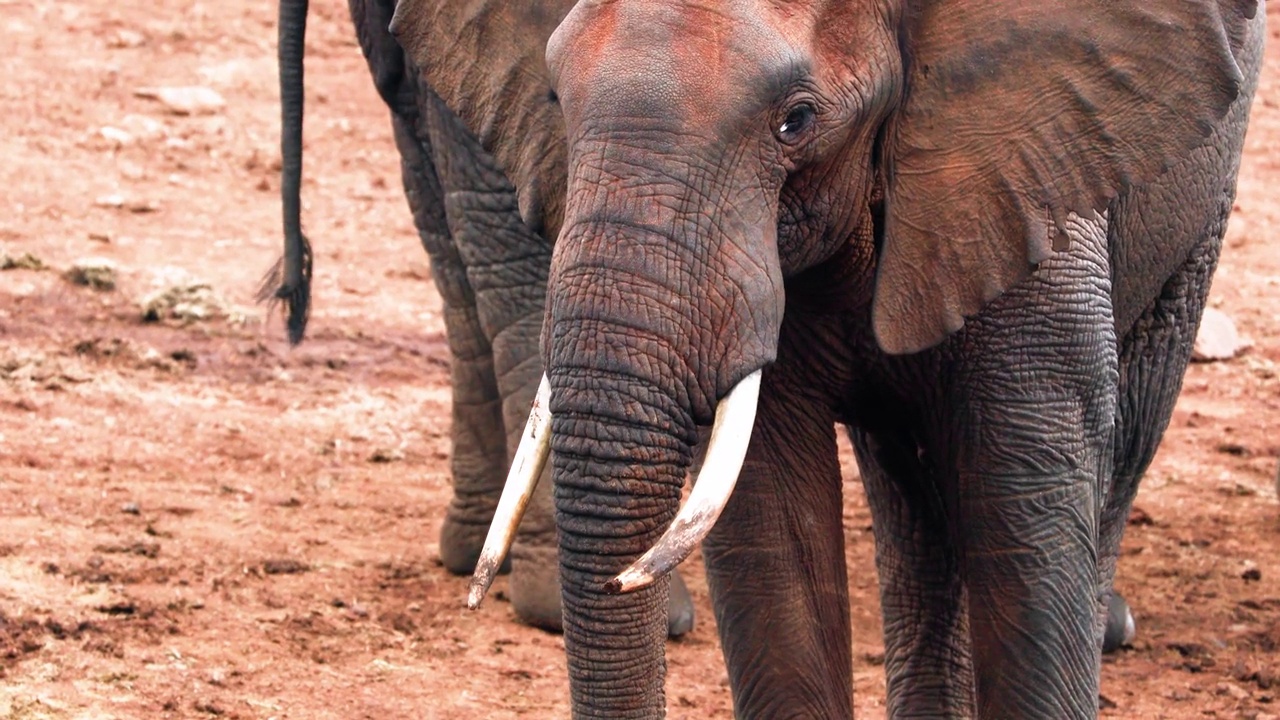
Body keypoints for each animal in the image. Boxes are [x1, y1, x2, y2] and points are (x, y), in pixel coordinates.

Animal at [391, 1, 1269, 717]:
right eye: (554, 98)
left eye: (796, 121)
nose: (626, 582)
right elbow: (775, 531)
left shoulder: (1030, 179)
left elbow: (1026, 518)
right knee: (911, 504)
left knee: (1133, 418)